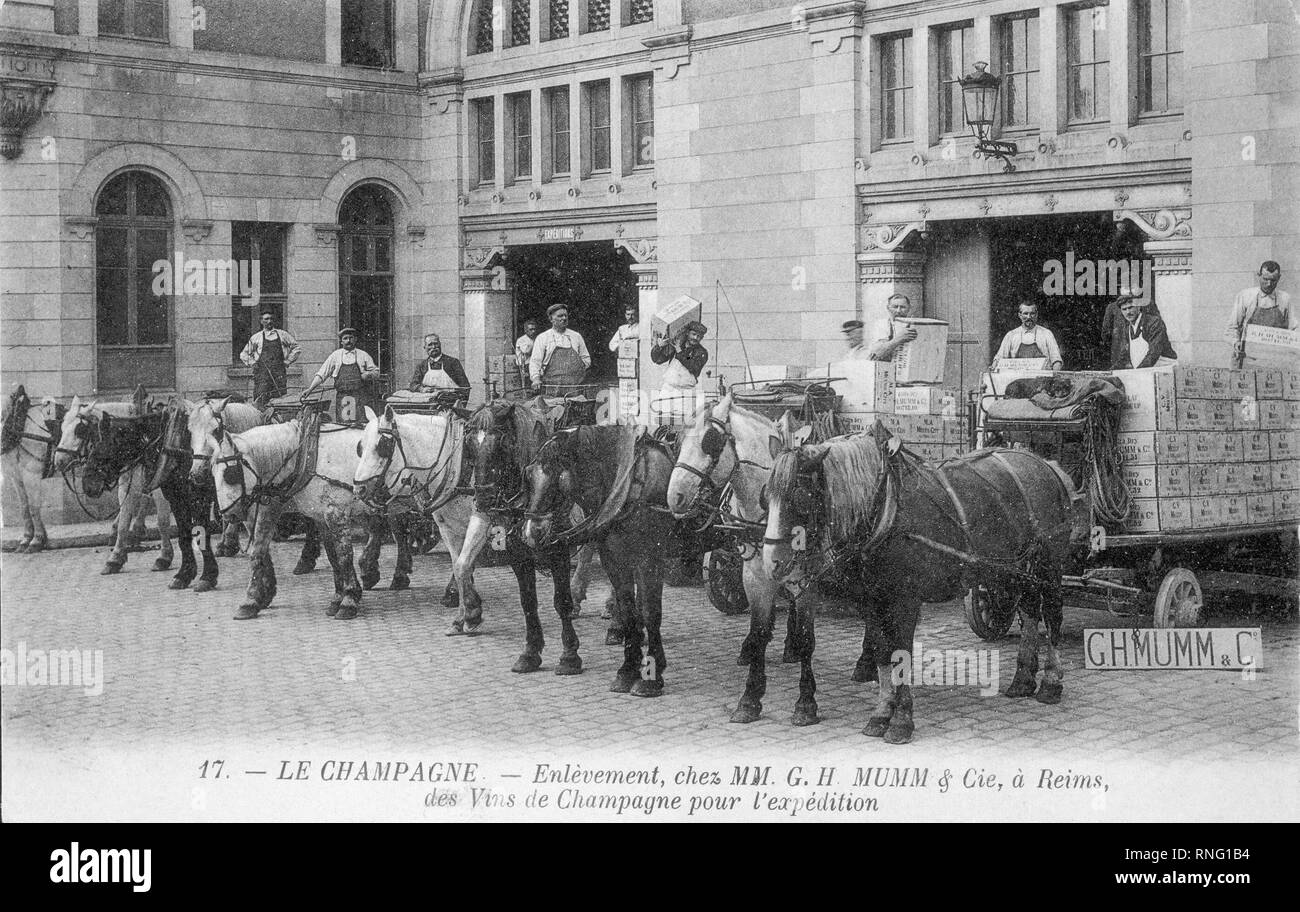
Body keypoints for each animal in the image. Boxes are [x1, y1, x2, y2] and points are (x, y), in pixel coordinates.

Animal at [1, 384, 65, 550]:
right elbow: (24, 507)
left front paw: (37, 540)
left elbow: (34, 506)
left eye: (3, 416)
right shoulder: (16, 477)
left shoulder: (32, 475)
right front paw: (27, 538)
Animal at [52, 397, 175, 574]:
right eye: (61, 427)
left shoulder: (159, 487)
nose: (59, 461)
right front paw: (115, 558)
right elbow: (124, 521)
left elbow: (162, 521)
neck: (143, 441)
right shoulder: (127, 487)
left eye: (80, 430)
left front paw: (164, 557)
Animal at [520, 426, 681, 696]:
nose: (533, 532)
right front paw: (627, 670)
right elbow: (628, 611)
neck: (628, 485)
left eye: (559, 476)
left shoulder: (650, 559)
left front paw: (652, 676)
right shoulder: (613, 558)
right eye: (529, 474)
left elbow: (650, 612)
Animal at [759, 428, 1076, 743]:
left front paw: (901, 720)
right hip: (1014, 567)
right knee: (1031, 611)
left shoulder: (905, 599)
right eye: (765, 497)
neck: (884, 509)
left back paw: (1050, 682)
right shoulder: (872, 600)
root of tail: (1047, 465)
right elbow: (882, 652)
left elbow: (902, 654)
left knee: (1052, 614)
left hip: (1049, 564)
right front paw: (881, 713)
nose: (771, 562)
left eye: (800, 497)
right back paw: (1023, 679)